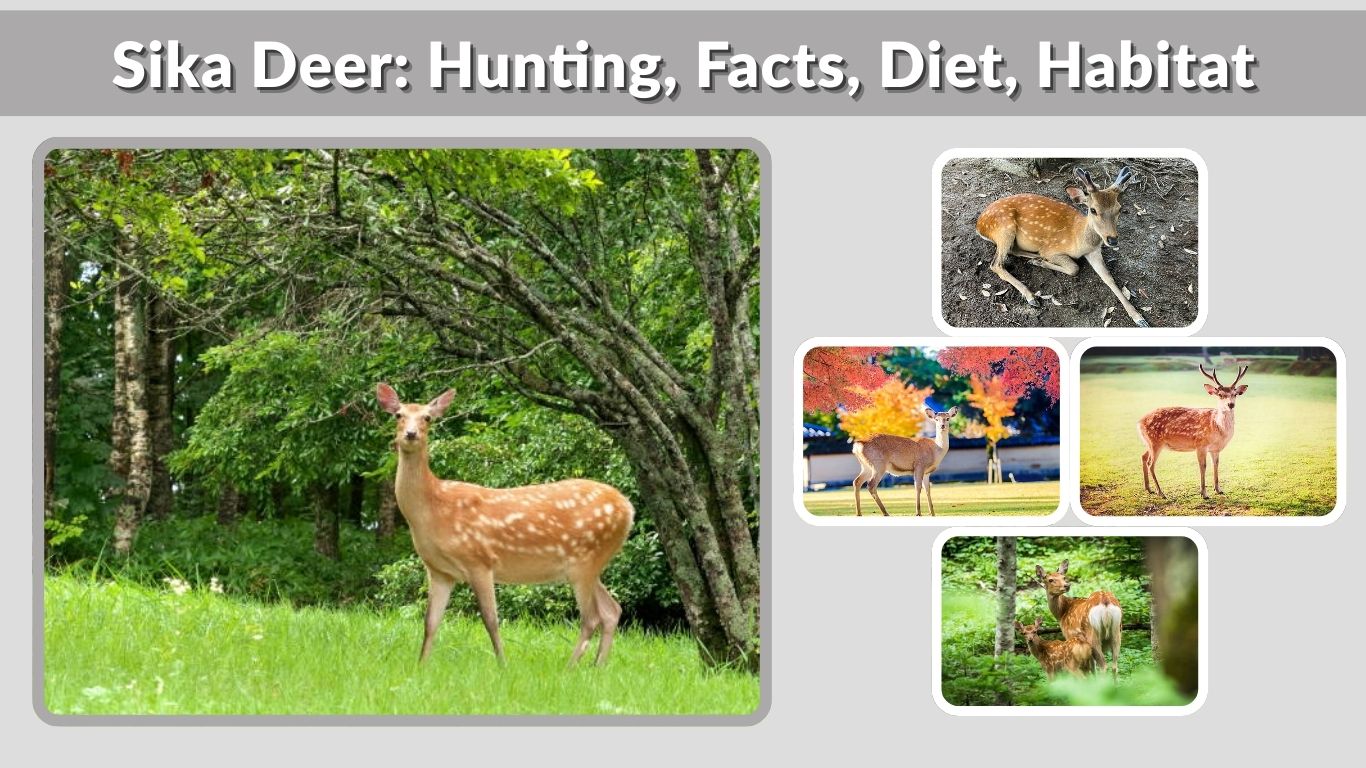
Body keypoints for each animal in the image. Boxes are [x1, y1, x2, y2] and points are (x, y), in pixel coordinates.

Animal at [376, 383, 634, 666]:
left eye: (427, 418)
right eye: (398, 415)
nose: (410, 434)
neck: (434, 509)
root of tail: (628, 509)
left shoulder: (479, 560)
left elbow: (491, 620)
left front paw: (502, 664)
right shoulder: (440, 571)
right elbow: (430, 622)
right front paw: (421, 665)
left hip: (585, 559)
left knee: (591, 617)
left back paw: (570, 667)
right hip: (590, 564)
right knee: (612, 609)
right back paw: (598, 666)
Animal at [975, 165, 1149, 327]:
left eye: (1119, 208)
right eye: (1093, 210)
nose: (1112, 240)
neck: (1079, 240)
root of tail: (979, 225)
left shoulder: (1094, 251)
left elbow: (1108, 278)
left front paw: (1139, 318)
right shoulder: (1052, 248)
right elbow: (1074, 268)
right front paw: (1043, 263)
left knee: (1013, 250)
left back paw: (1035, 259)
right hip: (1004, 227)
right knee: (996, 264)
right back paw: (1031, 295)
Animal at [1139, 364, 1249, 500]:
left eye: (1235, 394)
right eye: (1220, 394)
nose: (1231, 404)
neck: (1218, 428)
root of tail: (1139, 422)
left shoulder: (1215, 449)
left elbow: (1216, 465)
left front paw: (1218, 489)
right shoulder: (1200, 444)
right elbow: (1203, 466)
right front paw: (1204, 494)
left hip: (1149, 442)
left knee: (1143, 457)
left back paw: (1148, 489)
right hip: (1155, 442)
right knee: (1151, 464)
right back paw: (1161, 493)